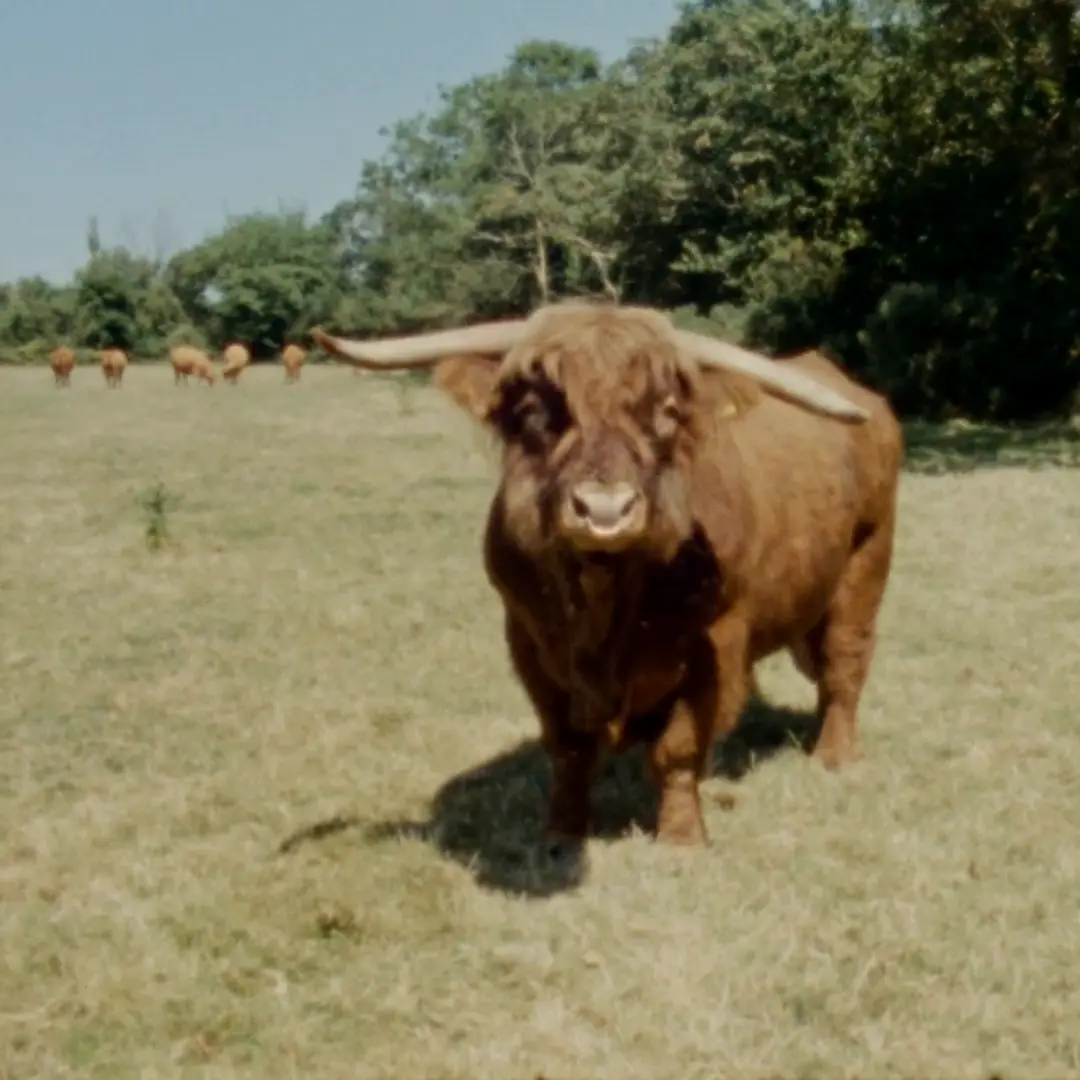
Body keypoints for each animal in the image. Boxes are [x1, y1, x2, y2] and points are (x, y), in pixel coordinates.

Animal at [312, 301, 903, 850]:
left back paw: (833, 754)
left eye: (666, 413)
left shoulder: (717, 643)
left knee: (844, 661)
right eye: (535, 410)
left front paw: (682, 837)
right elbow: (568, 746)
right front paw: (561, 831)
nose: (604, 509)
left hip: (866, 563)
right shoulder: (527, 641)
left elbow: (678, 747)